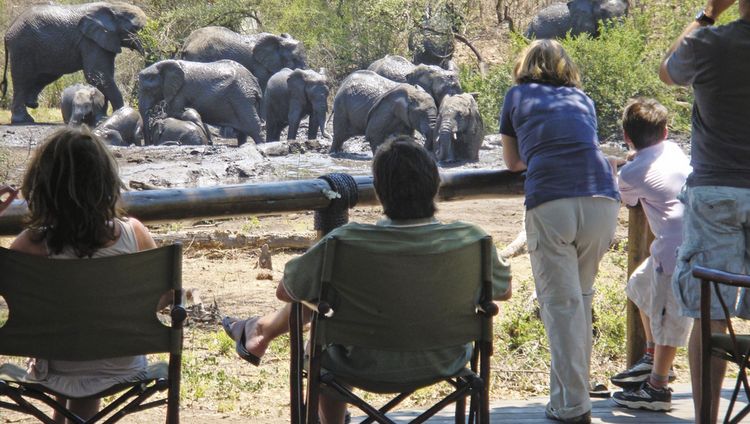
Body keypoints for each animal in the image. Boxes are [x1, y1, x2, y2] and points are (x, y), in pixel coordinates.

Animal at [1, 1, 147, 124]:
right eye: (136, 29)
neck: (114, 6)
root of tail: (8, 31)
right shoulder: (90, 41)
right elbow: (96, 74)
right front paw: (120, 113)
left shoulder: (104, 41)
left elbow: (104, 76)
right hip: (22, 47)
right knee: (22, 79)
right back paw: (23, 120)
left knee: (43, 76)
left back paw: (32, 104)